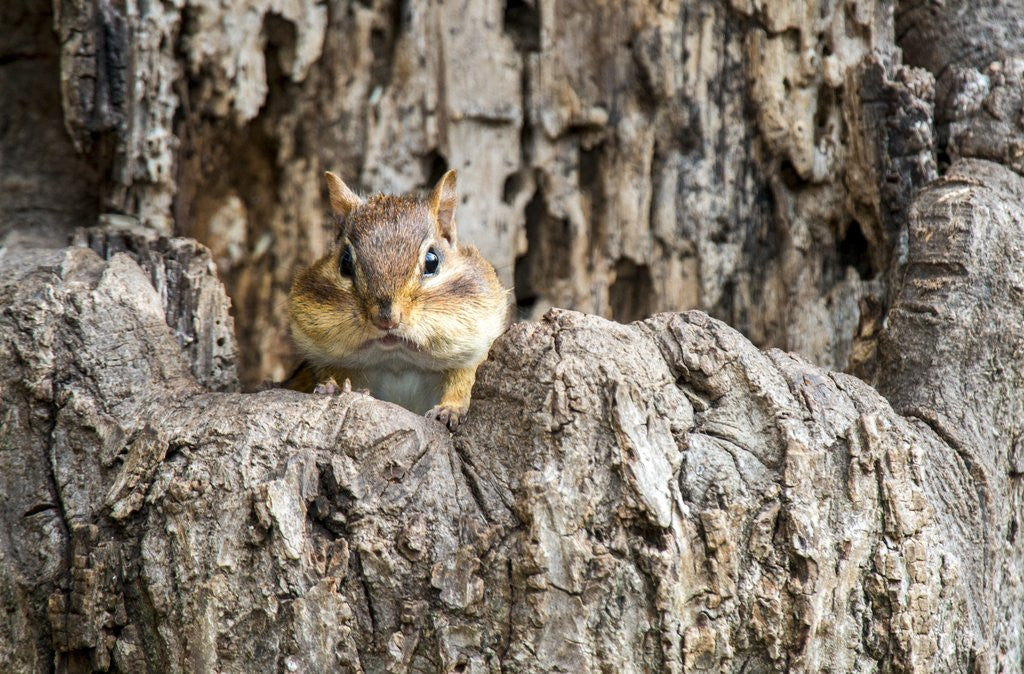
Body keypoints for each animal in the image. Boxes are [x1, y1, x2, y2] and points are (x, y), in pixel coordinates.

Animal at [286, 169, 510, 430]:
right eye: (345, 263)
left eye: (432, 261)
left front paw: (450, 409)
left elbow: (464, 382)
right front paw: (336, 388)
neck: (397, 363)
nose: (386, 319)